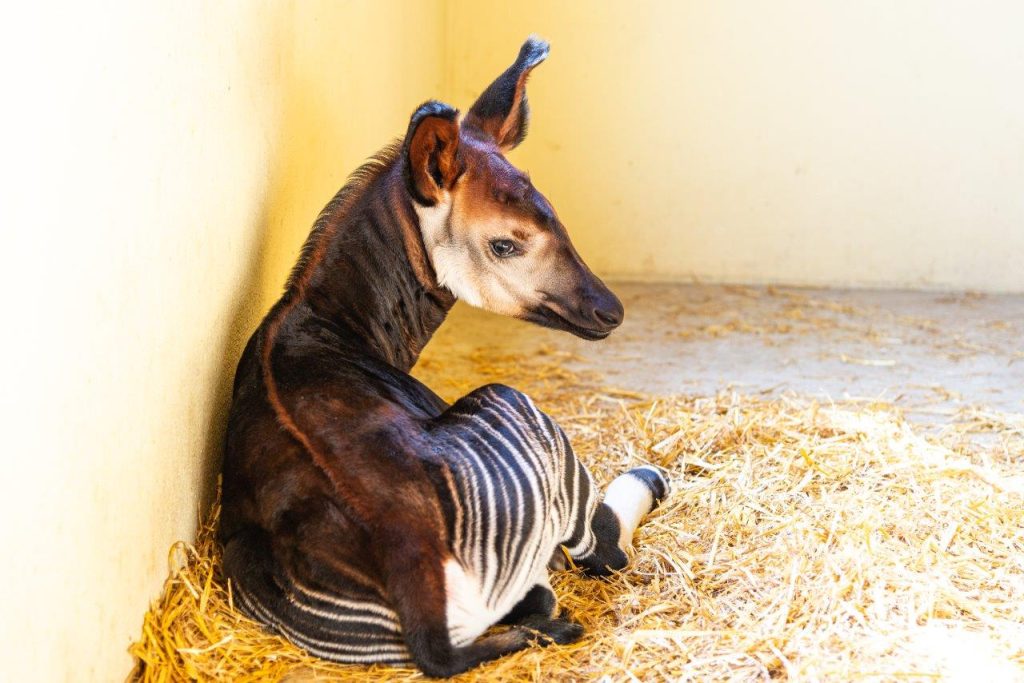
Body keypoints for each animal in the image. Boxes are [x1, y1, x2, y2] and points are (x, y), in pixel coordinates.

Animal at [221, 38, 667, 679]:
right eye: (505, 243)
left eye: (557, 216)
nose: (611, 310)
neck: (334, 320)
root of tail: (418, 588)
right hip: (511, 406)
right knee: (599, 550)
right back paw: (651, 479)